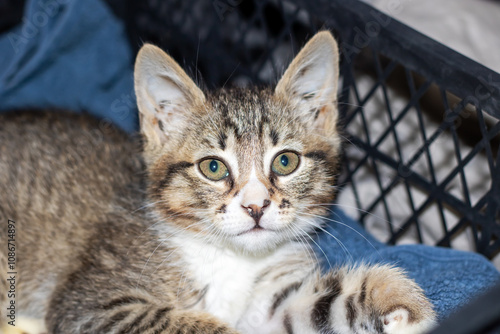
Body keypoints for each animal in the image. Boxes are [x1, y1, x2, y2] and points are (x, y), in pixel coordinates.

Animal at [0, 30, 436, 332]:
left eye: (286, 161)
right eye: (213, 168)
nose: (256, 206)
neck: (230, 257)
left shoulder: (272, 303)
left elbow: (316, 304)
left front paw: (402, 303)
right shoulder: (90, 304)